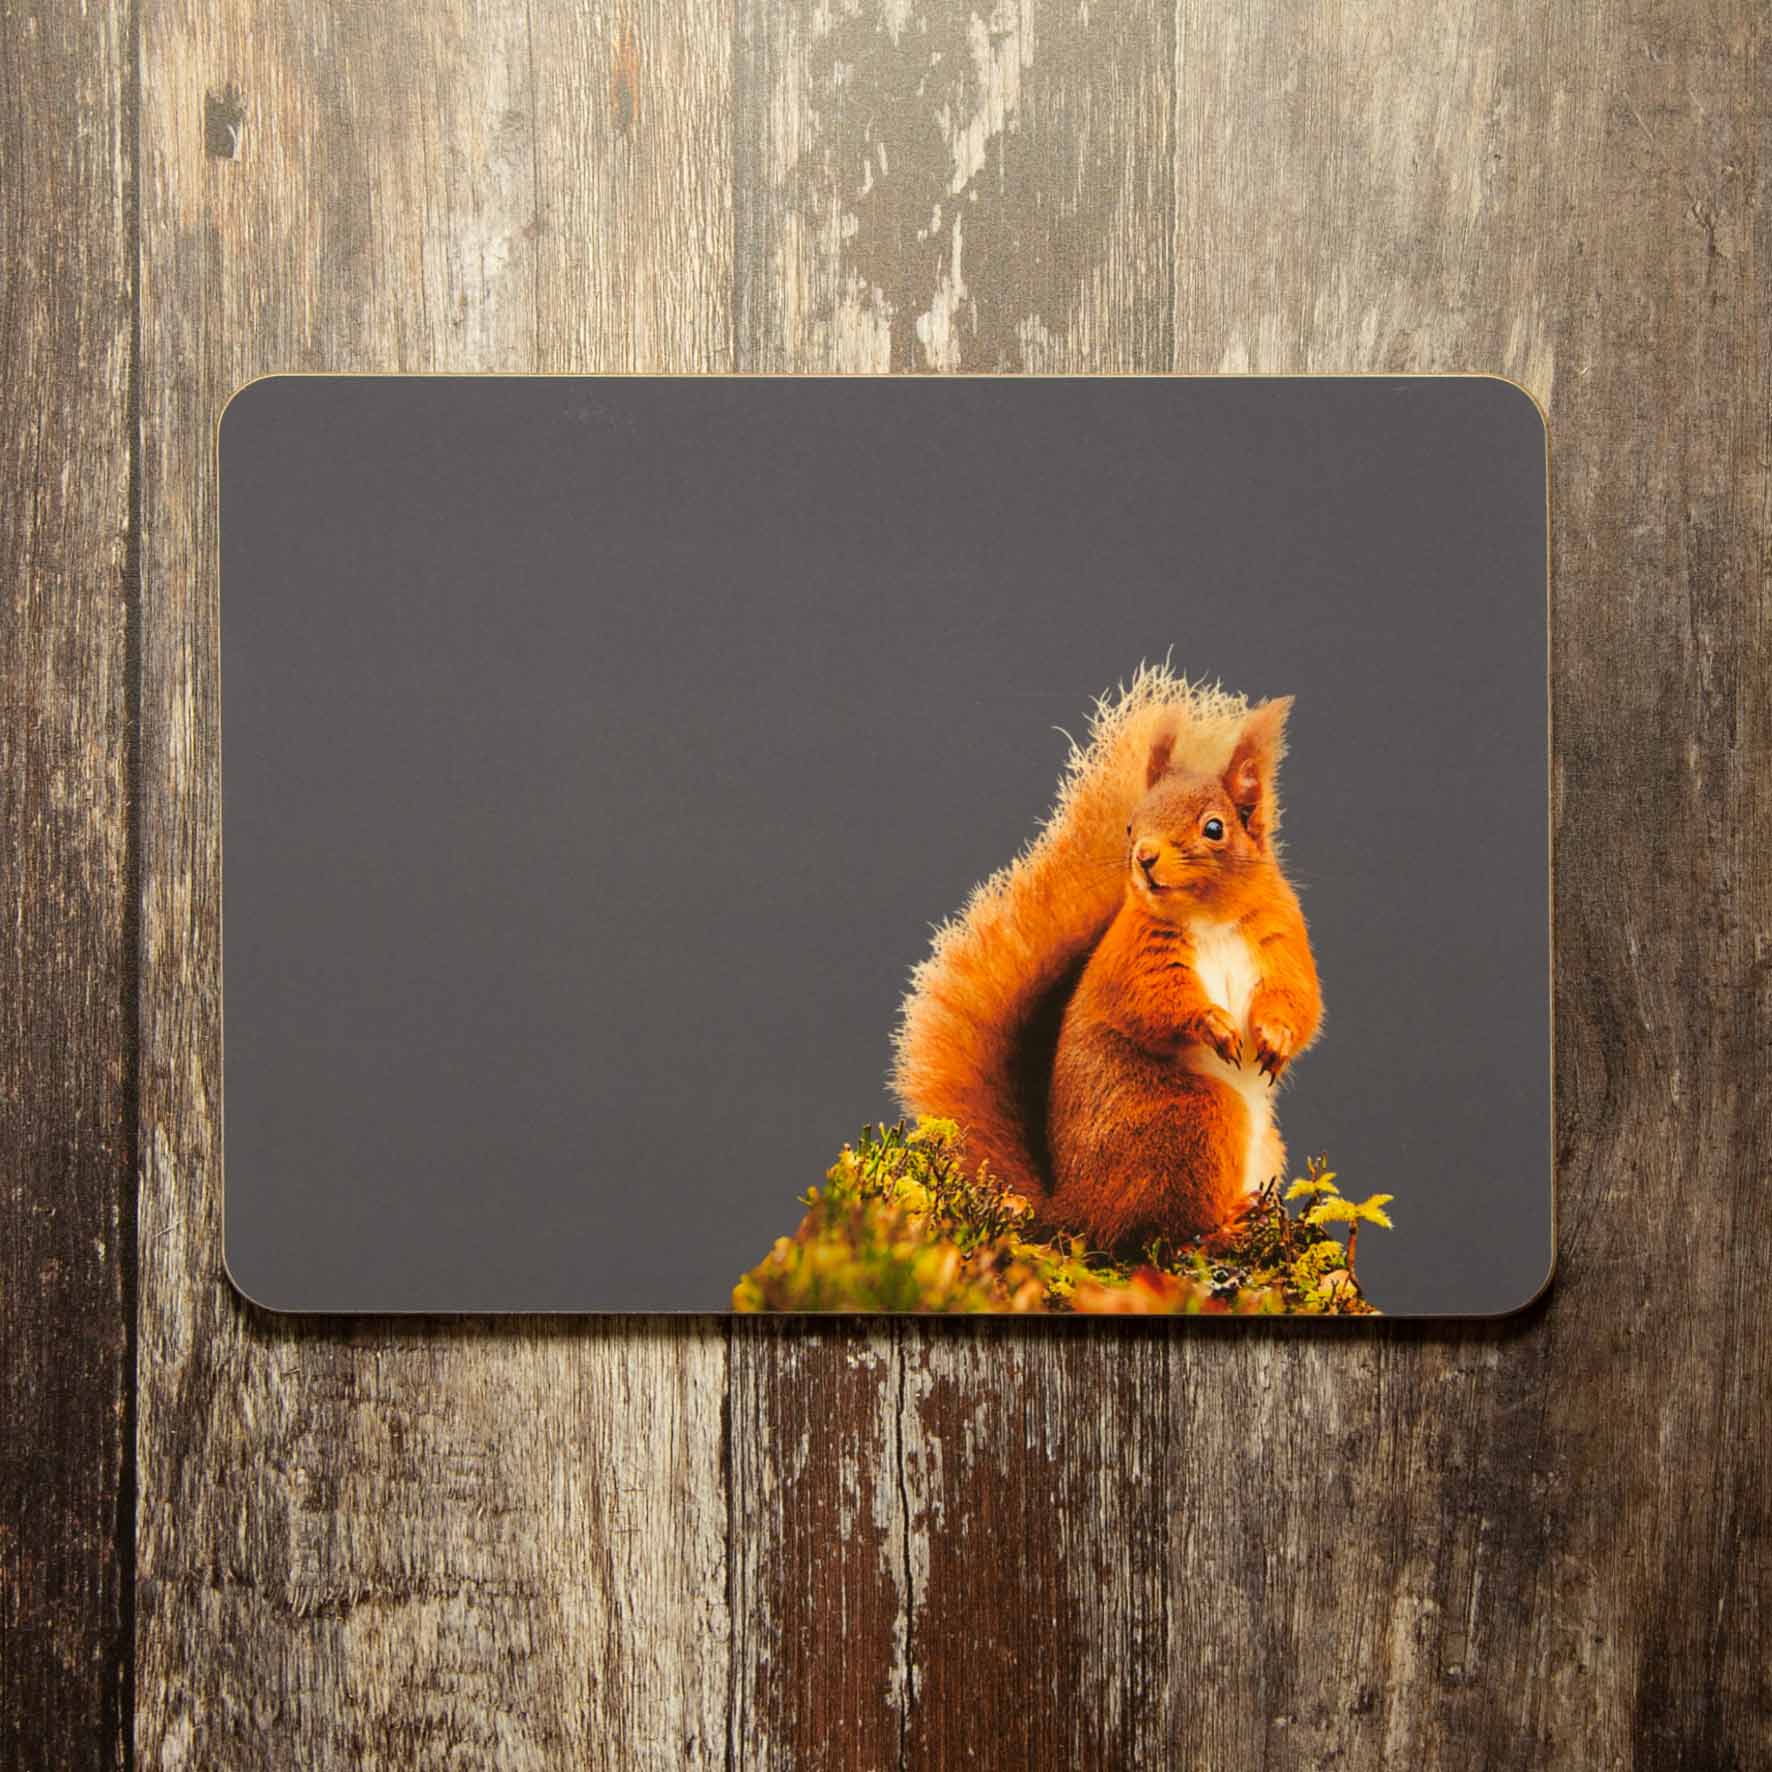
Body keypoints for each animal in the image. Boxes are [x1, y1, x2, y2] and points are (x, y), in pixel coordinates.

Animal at [892, 663, 1322, 1254]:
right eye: (1130, 825)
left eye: (1215, 827)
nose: (1144, 858)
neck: (1209, 915)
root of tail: (1075, 1210)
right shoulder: (1136, 955)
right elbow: (1155, 1001)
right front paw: (1212, 1024)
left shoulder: (1281, 939)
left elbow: (1298, 999)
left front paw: (1275, 1038)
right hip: (1196, 1122)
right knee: (1168, 1230)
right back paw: (1225, 1226)